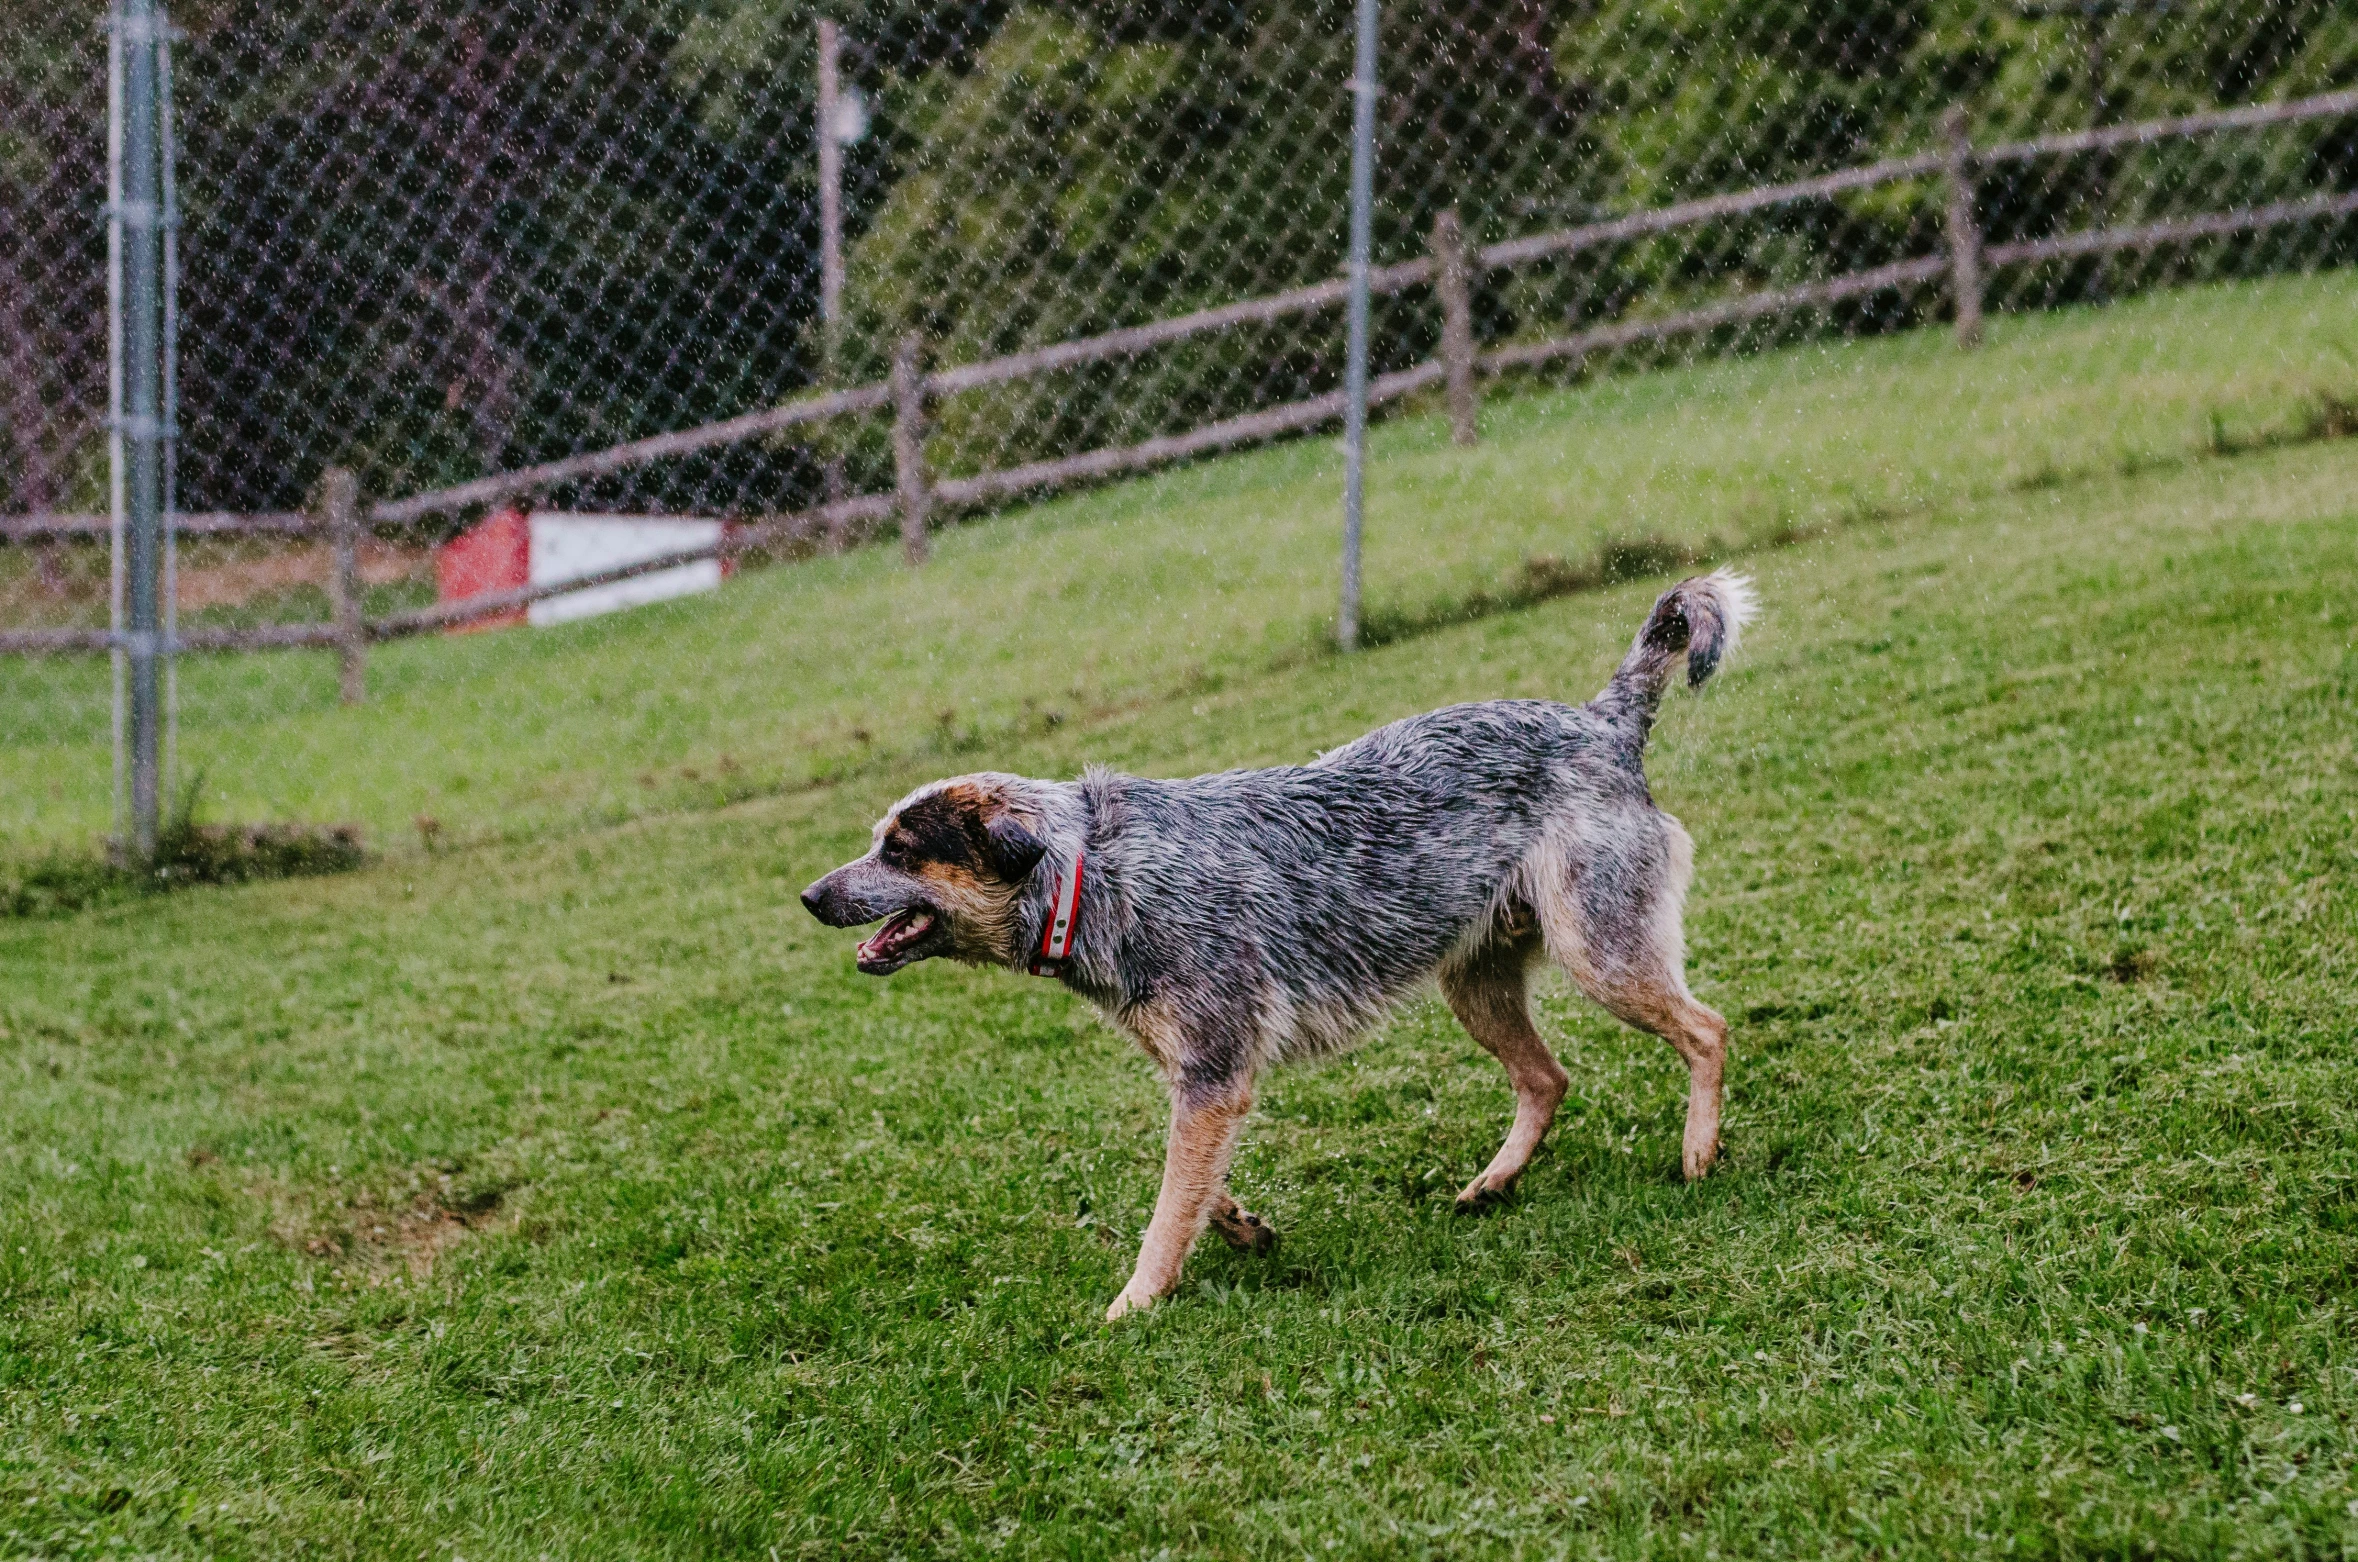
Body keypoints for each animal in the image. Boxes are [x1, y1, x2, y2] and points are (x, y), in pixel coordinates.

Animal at [806, 575, 1754, 1321]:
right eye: (875, 842)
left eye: (901, 851)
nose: (811, 896)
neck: (1091, 870)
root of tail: (1602, 721)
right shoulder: (1199, 1077)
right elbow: (1192, 1188)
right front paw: (1239, 1228)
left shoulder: (1213, 1076)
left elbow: (1164, 1215)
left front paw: (1133, 1305)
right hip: (1476, 986)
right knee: (1548, 1078)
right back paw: (1493, 1183)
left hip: (1602, 956)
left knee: (1707, 1030)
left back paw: (1698, 1156)